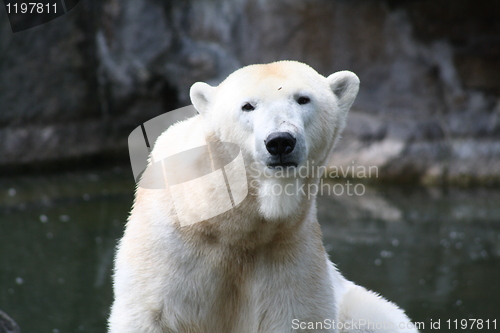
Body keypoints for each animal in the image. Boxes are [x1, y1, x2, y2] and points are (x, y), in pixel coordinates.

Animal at [109, 60, 418, 332]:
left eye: (303, 99)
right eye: (248, 105)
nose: (280, 141)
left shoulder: (288, 254)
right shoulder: (169, 247)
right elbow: (150, 313)